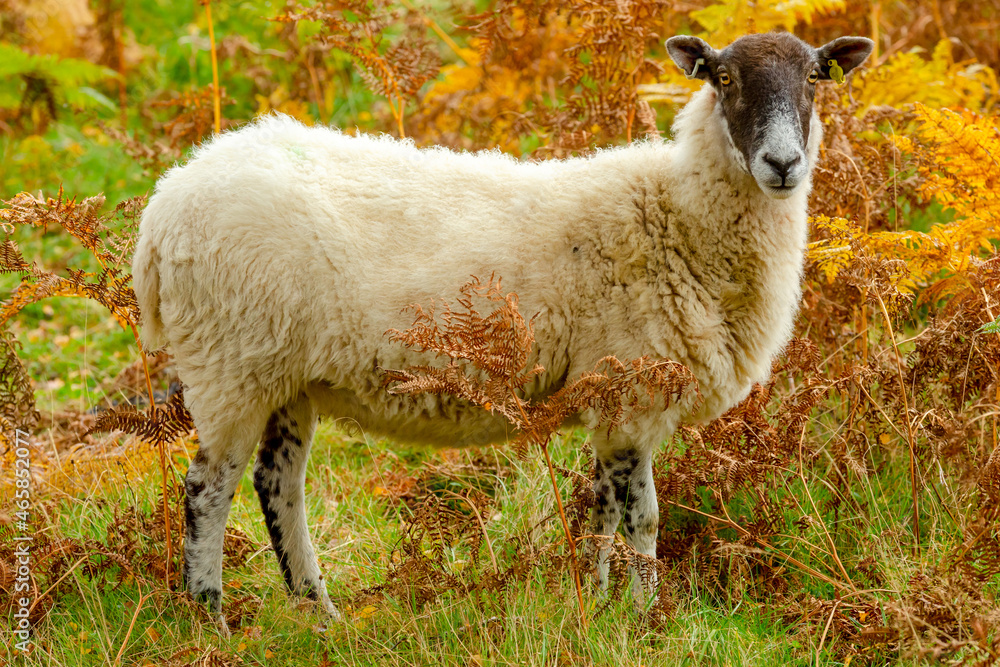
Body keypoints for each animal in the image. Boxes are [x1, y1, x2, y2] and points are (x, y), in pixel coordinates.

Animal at [131, 31, 873, 627]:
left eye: (815, 77)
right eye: (723, 78)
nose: (783, 164)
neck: (674, 215)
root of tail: (167, 202)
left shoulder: (607, 396)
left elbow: (599, 510)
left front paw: (597, 606)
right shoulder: (631, 392)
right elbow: (642, 517)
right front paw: (646, 618)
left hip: (285, 375)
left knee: (275, 484)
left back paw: (322, 614)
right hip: (232, 363)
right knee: (207, 490)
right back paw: (210, 617)